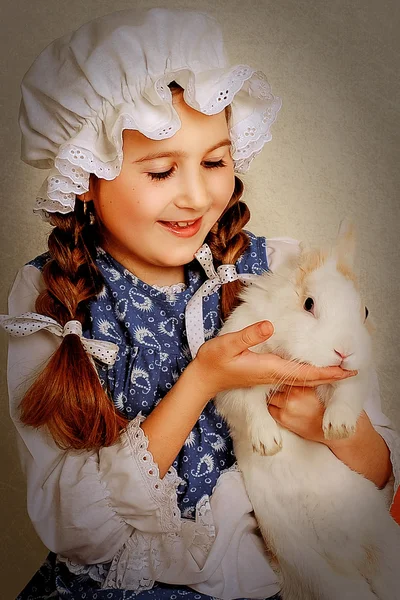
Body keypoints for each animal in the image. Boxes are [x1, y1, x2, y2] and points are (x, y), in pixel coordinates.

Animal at [214, 223, 400, 600]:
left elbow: (347, 395)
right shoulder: (234, 386)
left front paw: (338, 428)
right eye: (309, 304)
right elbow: (250, 405)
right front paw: (268, 444)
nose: (344, 351)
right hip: (321, 576)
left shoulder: (356, 379)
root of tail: (349, 558)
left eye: (365, 312)